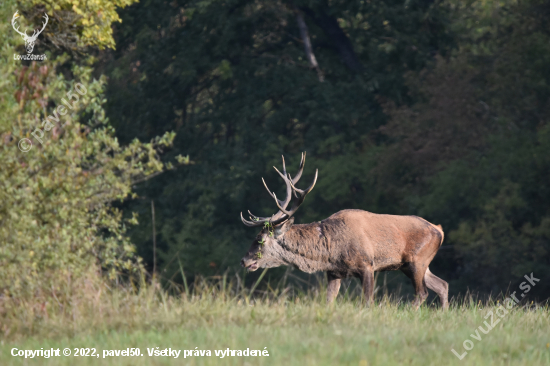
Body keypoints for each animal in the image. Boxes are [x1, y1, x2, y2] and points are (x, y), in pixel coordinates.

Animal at [242, 152, 448, 308]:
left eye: (260, 239)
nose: (244, 260)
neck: (329, 251)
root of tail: (439, 230)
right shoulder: (333, 272)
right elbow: (328, 302)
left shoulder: (367, 265)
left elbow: (367, 301)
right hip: (413, 264)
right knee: (442, 285)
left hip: (417, 259)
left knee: (422, 293)